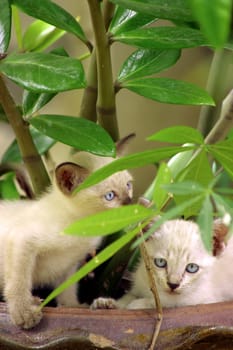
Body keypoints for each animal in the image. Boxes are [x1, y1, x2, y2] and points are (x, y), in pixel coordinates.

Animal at [0, 134, 135, 328]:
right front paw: (24, 313)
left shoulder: (71, 264)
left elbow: (68, 289)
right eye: (110, 196)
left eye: (128, 185)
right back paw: (33, 301)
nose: (132, 204)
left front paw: (74, 307)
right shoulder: (21, 240)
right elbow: (19, 281)